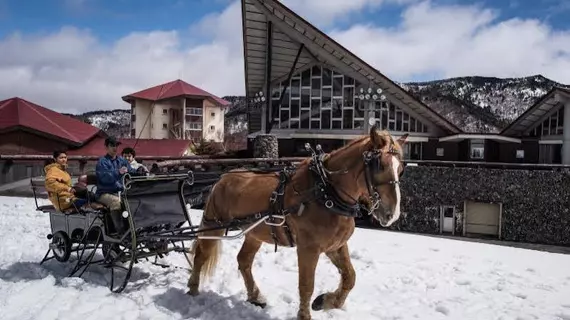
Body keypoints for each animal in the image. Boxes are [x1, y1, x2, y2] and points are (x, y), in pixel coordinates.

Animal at [189, 127, 406, 320]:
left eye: (401, 169)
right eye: (380, 165)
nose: (392, 214)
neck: (325, 192)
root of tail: (222, 178)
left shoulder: (336, 246)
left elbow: (350, 277)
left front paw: (325, 301)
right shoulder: (308, 248)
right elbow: (307, 285)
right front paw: (305, 314)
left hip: (254, 234)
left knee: (244, 261)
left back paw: (255, 296)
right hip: (214, 226)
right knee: (201, 256)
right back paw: (192, 289)